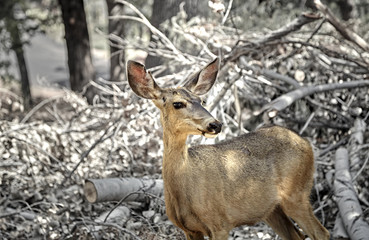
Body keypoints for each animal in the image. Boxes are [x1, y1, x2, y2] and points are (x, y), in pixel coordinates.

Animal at [126, 58, 328, 240]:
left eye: (202, 100)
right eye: (177, 103)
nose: (215, 124)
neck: (183, 188)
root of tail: (306, 142)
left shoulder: (220, 223)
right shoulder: (189, 230)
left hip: (297, 194)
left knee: (321, 233)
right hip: (272, 209)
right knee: (297, 235)